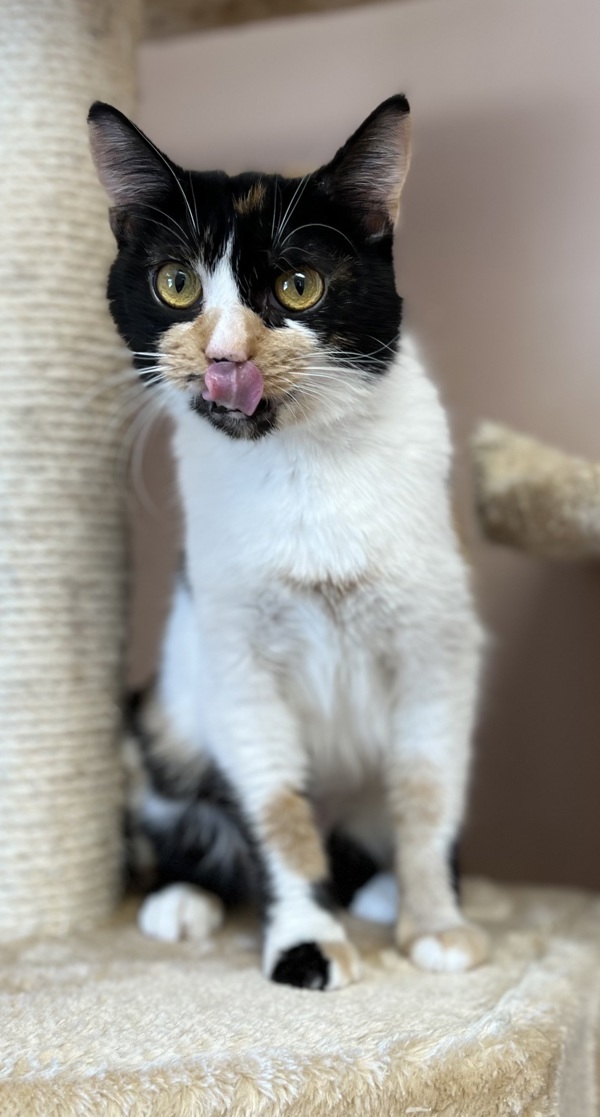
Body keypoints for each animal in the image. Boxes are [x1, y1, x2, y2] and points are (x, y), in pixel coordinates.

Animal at [89, 93, 491, 987]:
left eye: (298, 285)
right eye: (175, 283)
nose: (225, 357)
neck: (303, 464)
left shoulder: (438, 643)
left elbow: (428, 784)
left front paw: (436, 922)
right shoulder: (236, 656)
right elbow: (276, 802)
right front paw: (306, 940)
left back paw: (379, 887)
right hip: (164, 716)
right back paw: (182, 896)